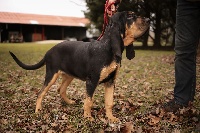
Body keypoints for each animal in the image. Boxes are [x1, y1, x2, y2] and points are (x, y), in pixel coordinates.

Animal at [9, 11, 148, 121]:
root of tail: (48, 52)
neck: (107, 48)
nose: (148, 19)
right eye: (130, 16)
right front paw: (88, 118)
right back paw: (38, 111)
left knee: (61, 89)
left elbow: (109, 102)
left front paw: (111, 118)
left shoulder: (110, 81)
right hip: (52, 75)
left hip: (68, 75)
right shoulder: (91, 81)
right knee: (41, 93)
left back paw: (70, 102)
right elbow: (89, 101)